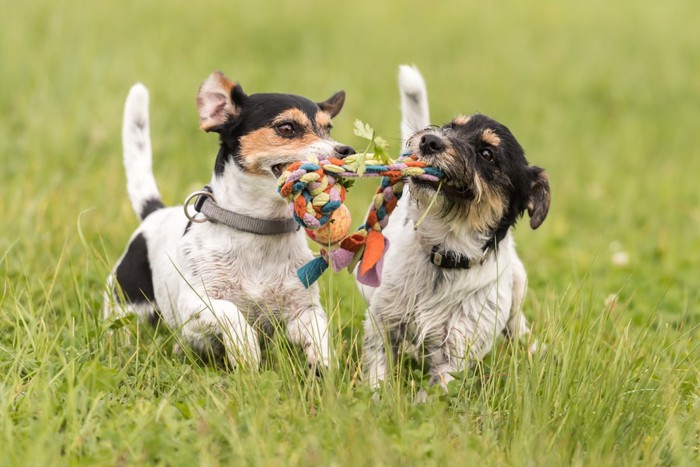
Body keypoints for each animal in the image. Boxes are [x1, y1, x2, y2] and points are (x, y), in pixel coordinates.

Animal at [360, 66, 552, 392]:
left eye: (487, 154)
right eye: (451, 126)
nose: (429, 140)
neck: (446, 251)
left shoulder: (454, 356)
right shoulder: (381, 324)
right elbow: (378, 374)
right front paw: (376, 398)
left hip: (518, 280)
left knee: (516, 323)